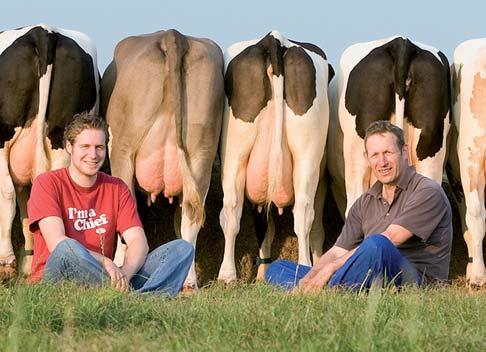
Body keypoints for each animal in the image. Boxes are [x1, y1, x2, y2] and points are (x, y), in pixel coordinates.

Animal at [218, 31, 332, 282]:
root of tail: (274, 38)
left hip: (236, 151)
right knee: (303, 212)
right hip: (304, 154)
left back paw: (228, 276)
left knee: (232, 208)